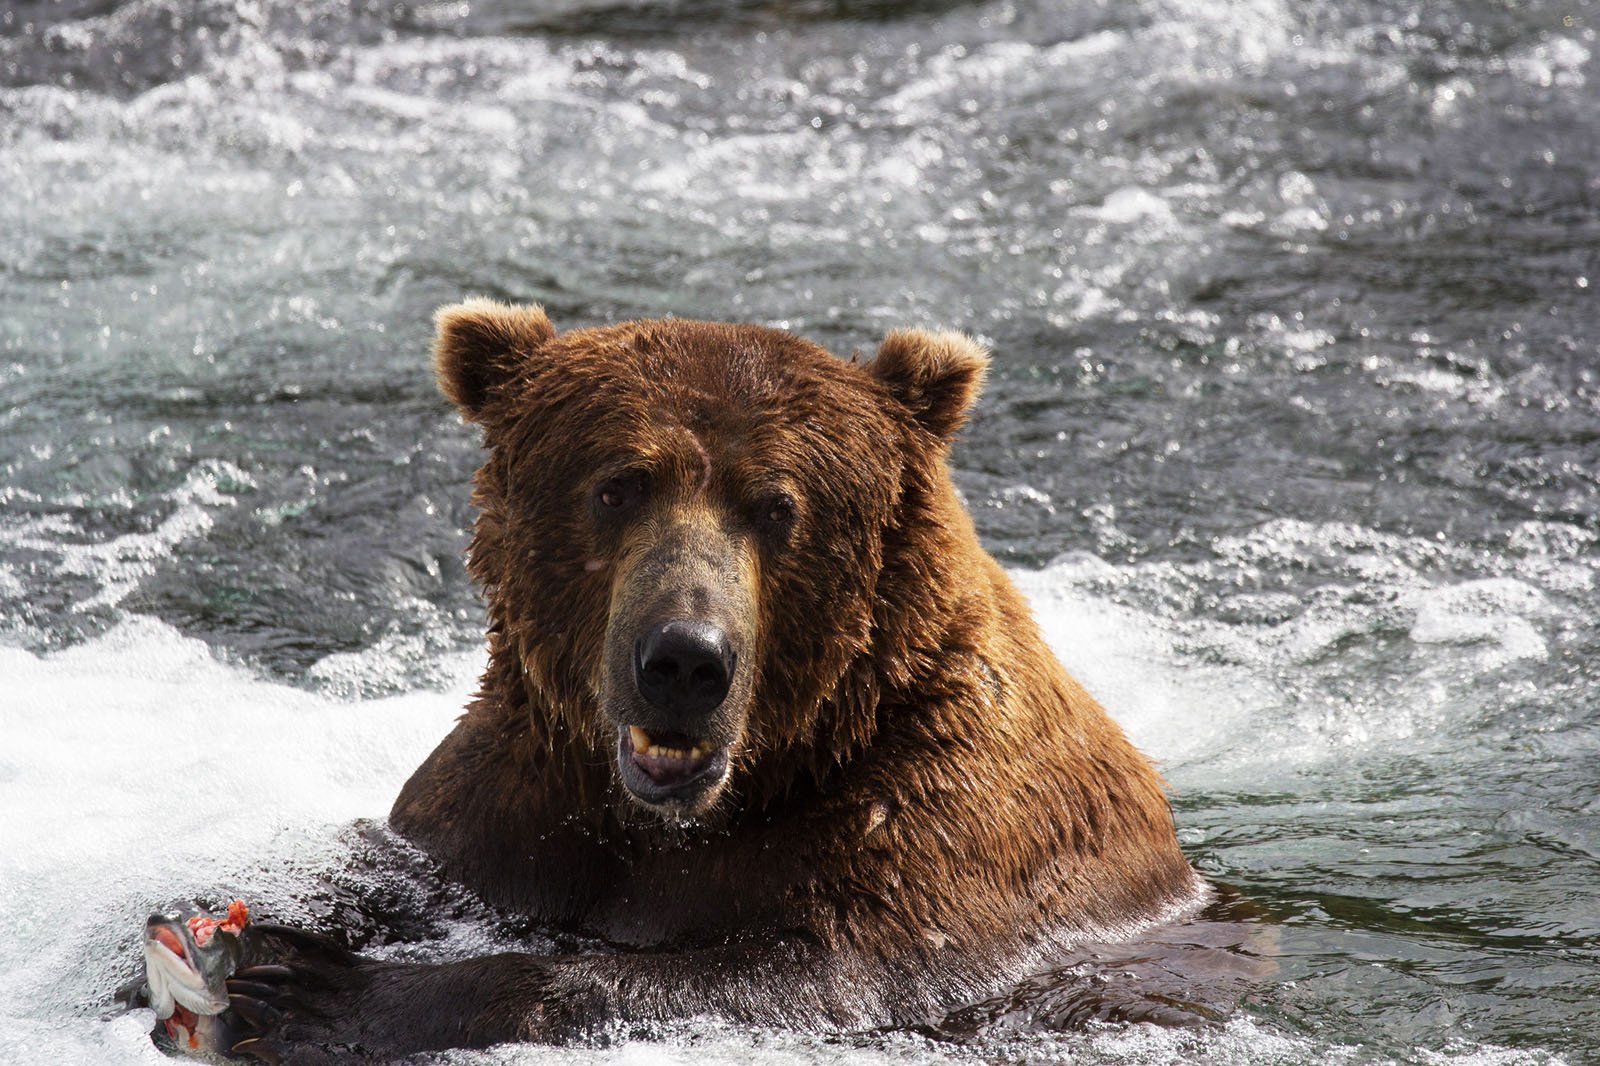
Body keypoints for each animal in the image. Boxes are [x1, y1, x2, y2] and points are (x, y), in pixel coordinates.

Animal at [222, 302, 1203, 1056]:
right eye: (617, 485)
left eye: (778, 506)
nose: (686, 661)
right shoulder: (507, 802)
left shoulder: (942, 830)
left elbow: (805, 973)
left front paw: (323, 995)